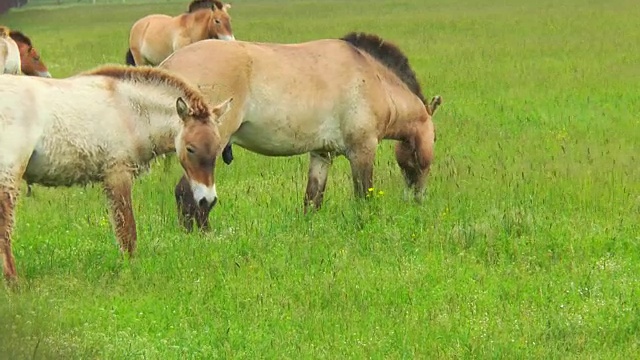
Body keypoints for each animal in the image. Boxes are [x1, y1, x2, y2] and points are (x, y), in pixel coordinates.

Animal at [0, 65, 234, 284]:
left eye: (217, 147)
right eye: (190, 149)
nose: (207, 200)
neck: (129, 110)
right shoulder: (118, 173)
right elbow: (127, 231)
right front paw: (129, 272)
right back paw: (14, 283)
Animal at [159, 31, 440, 214]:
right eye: (435, 138)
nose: (417, 200)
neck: (374, 77)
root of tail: (167, 65)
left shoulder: (322, 155)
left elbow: (312, 200)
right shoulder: (362, 150)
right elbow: (364, 199)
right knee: (189, 196)